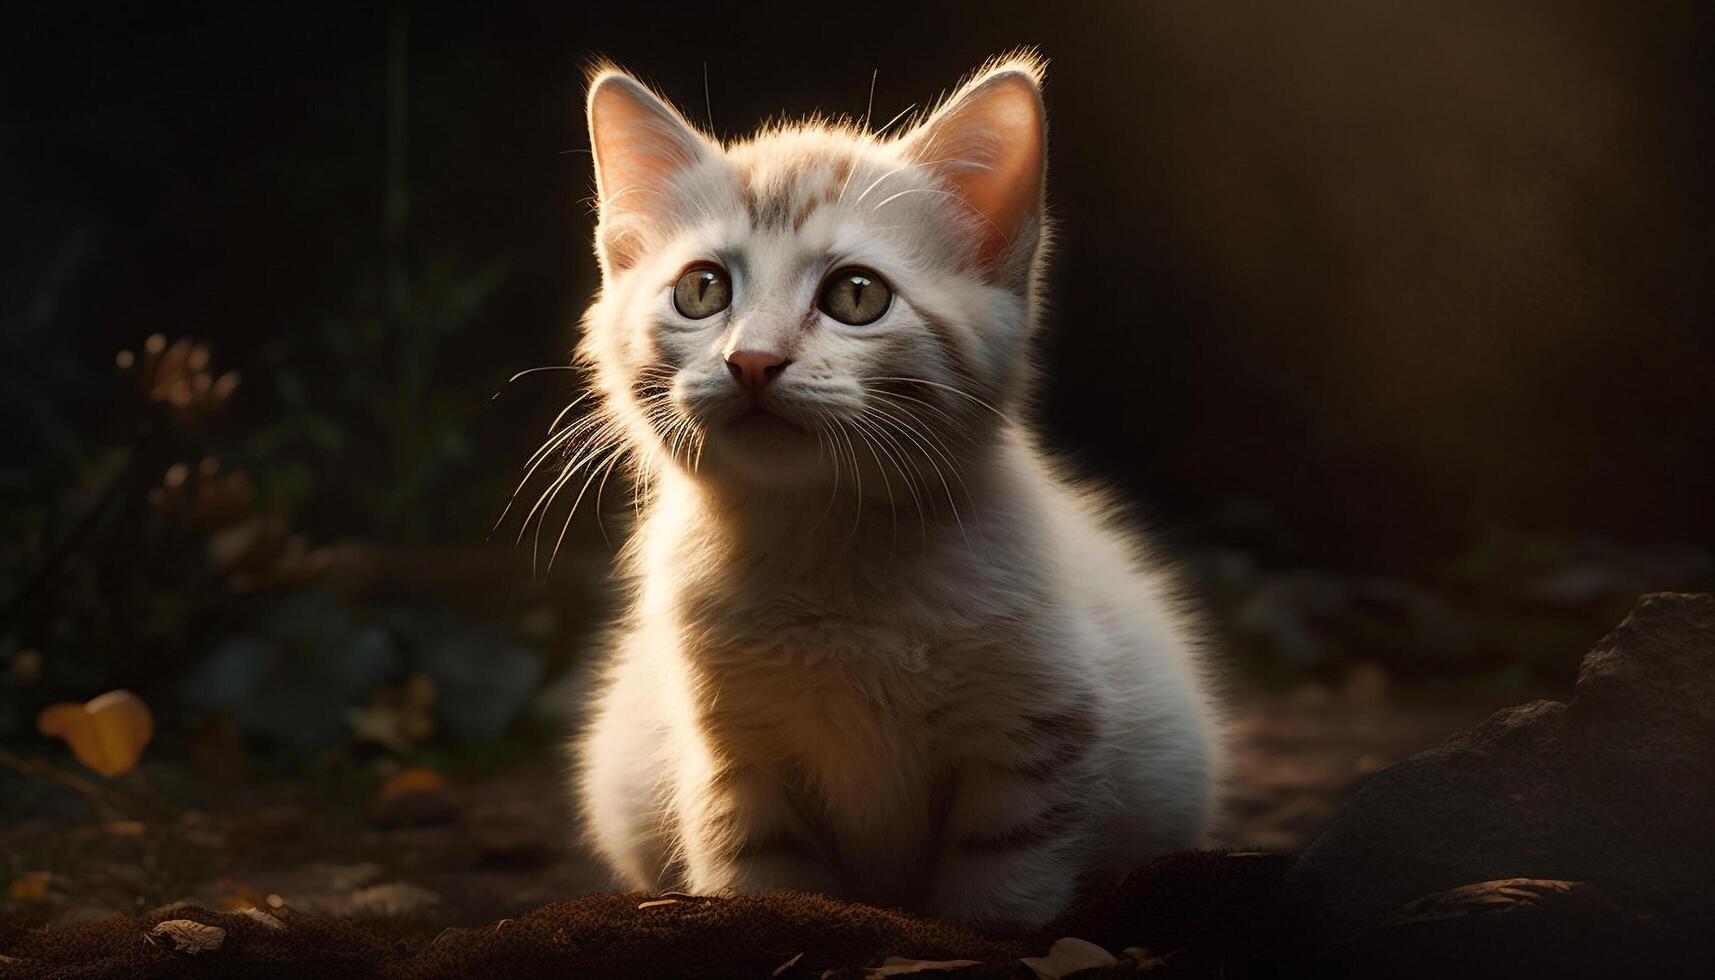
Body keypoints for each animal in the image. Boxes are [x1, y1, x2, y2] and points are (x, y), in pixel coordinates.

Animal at [559, 53, 1221, 926]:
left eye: (856, 295)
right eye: (701, 290)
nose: (752, 360)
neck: (827, 546)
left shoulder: (1037, 733)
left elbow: (1001, 884)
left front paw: (983, 925)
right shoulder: (729, 753)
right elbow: (760, 873)